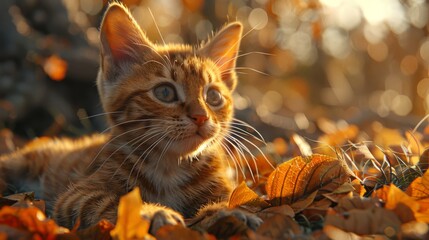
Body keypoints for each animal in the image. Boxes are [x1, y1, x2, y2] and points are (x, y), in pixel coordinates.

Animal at [0, 1, 260, 234]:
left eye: (213, 96)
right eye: (165, 92)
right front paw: (152, 212)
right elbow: (113, 203)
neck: (170, 168)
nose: (201, 117)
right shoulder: (76, 195)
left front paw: (230, 212)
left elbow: (230, 200)